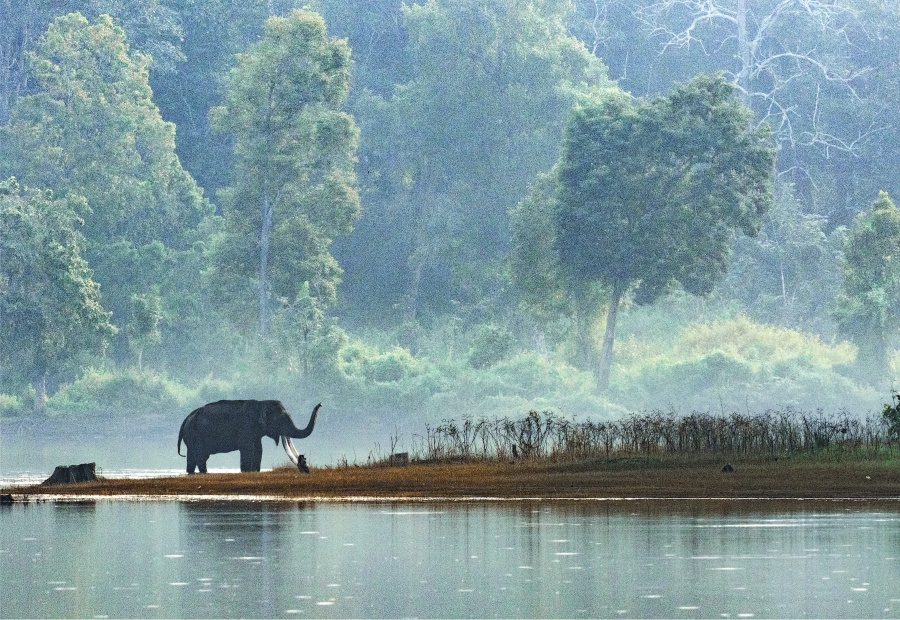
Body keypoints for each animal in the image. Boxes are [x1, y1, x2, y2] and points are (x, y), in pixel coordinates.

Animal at [176, 400, 320, 472]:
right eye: (281, 420)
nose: (320, 404)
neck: (261, 403)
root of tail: (186, 418)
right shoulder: (245, 427)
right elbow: (248, 449)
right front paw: (246, 471)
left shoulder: (255, 432)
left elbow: (259, 449)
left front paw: (255, 471)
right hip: (194, 435)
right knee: (199, 456)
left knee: (195, 457)